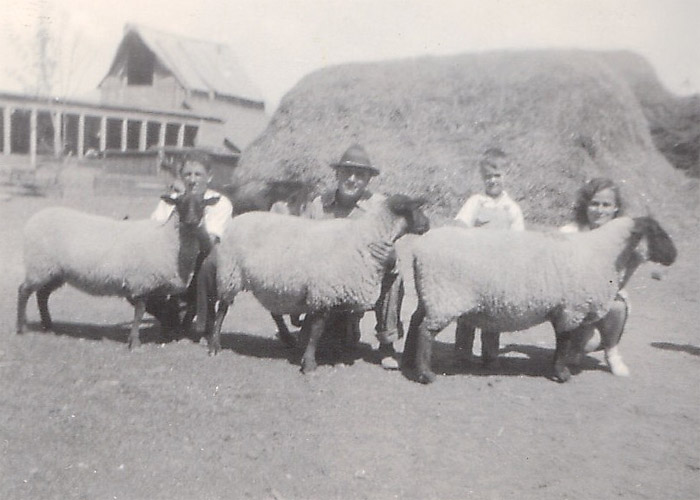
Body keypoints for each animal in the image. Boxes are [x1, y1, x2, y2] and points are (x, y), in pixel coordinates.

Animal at [16, 192, 219, 348]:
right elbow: (140, 312)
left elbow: (164, 310)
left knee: (42, 295)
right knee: (24, 291)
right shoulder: (141, 282)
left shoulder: (153, 286)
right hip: (40, 266)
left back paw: (48, 326)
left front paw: (167, 333)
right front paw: (135, 342)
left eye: (202, 204)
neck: (165, 238)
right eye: (180, 203)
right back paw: (21, 328)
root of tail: (35, 218)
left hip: (54, 271)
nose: (192, 221)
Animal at [207, 194, 430, 372]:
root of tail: (235, 220)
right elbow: (317, 330)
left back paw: (288, 338)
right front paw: (309, 363)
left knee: (275, 312)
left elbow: (341, 327)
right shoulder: (324, 292)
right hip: (230, 274)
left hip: (270, 283)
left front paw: (338, 354)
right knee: (222, 309)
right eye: (415, 208)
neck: (366, 237)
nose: (428, 224)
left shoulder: (340, 294)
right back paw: (214, 345)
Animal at [402, 216, 677, 384]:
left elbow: (572, 341)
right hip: (444, 298)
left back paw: (407, 362)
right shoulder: (571, 309)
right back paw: (425, 374)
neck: (605, 254)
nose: (674, 255)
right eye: (656, 232)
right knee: (425, 331)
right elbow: (564, 341)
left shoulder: (569, 308)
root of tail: (419, 249)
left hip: (429, 295)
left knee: (415, 322)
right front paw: (562, 373)